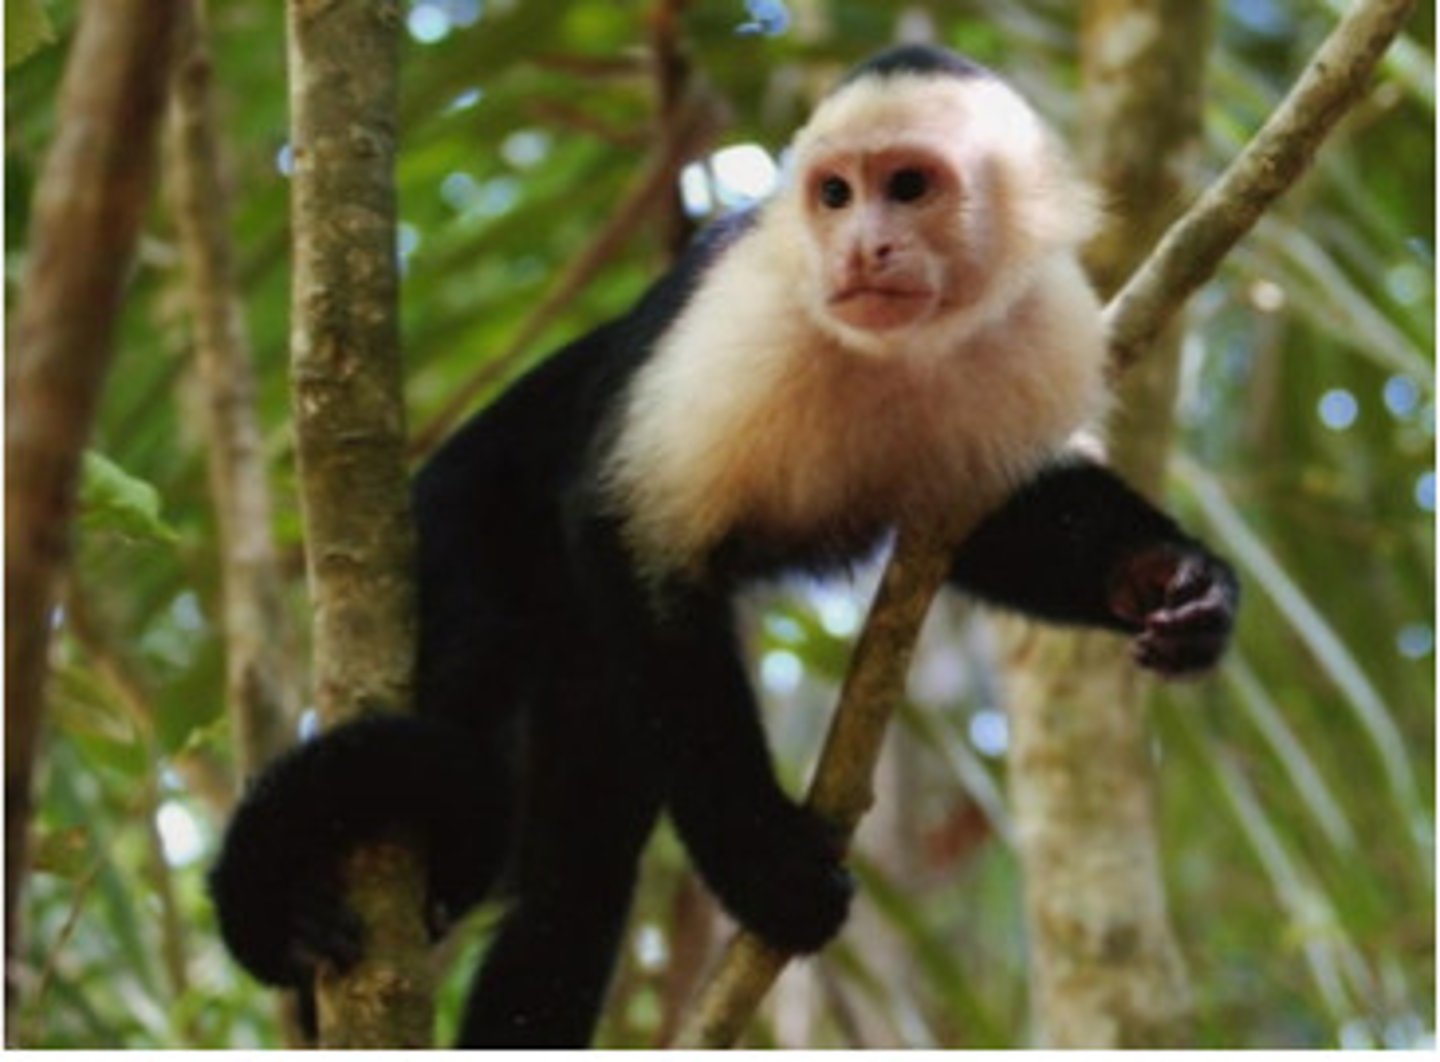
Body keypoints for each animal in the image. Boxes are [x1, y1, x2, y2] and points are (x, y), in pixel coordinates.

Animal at [208, 45, 1239, 1047]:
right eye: (835, 194)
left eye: (909, 186)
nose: (863, 246)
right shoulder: (747, 315)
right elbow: (627, 526)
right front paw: (763, 864)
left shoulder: (1047, 326)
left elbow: (1004, 520)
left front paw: (1169, 584)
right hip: (461, 526)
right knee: (479, 728)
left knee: (574, 869)